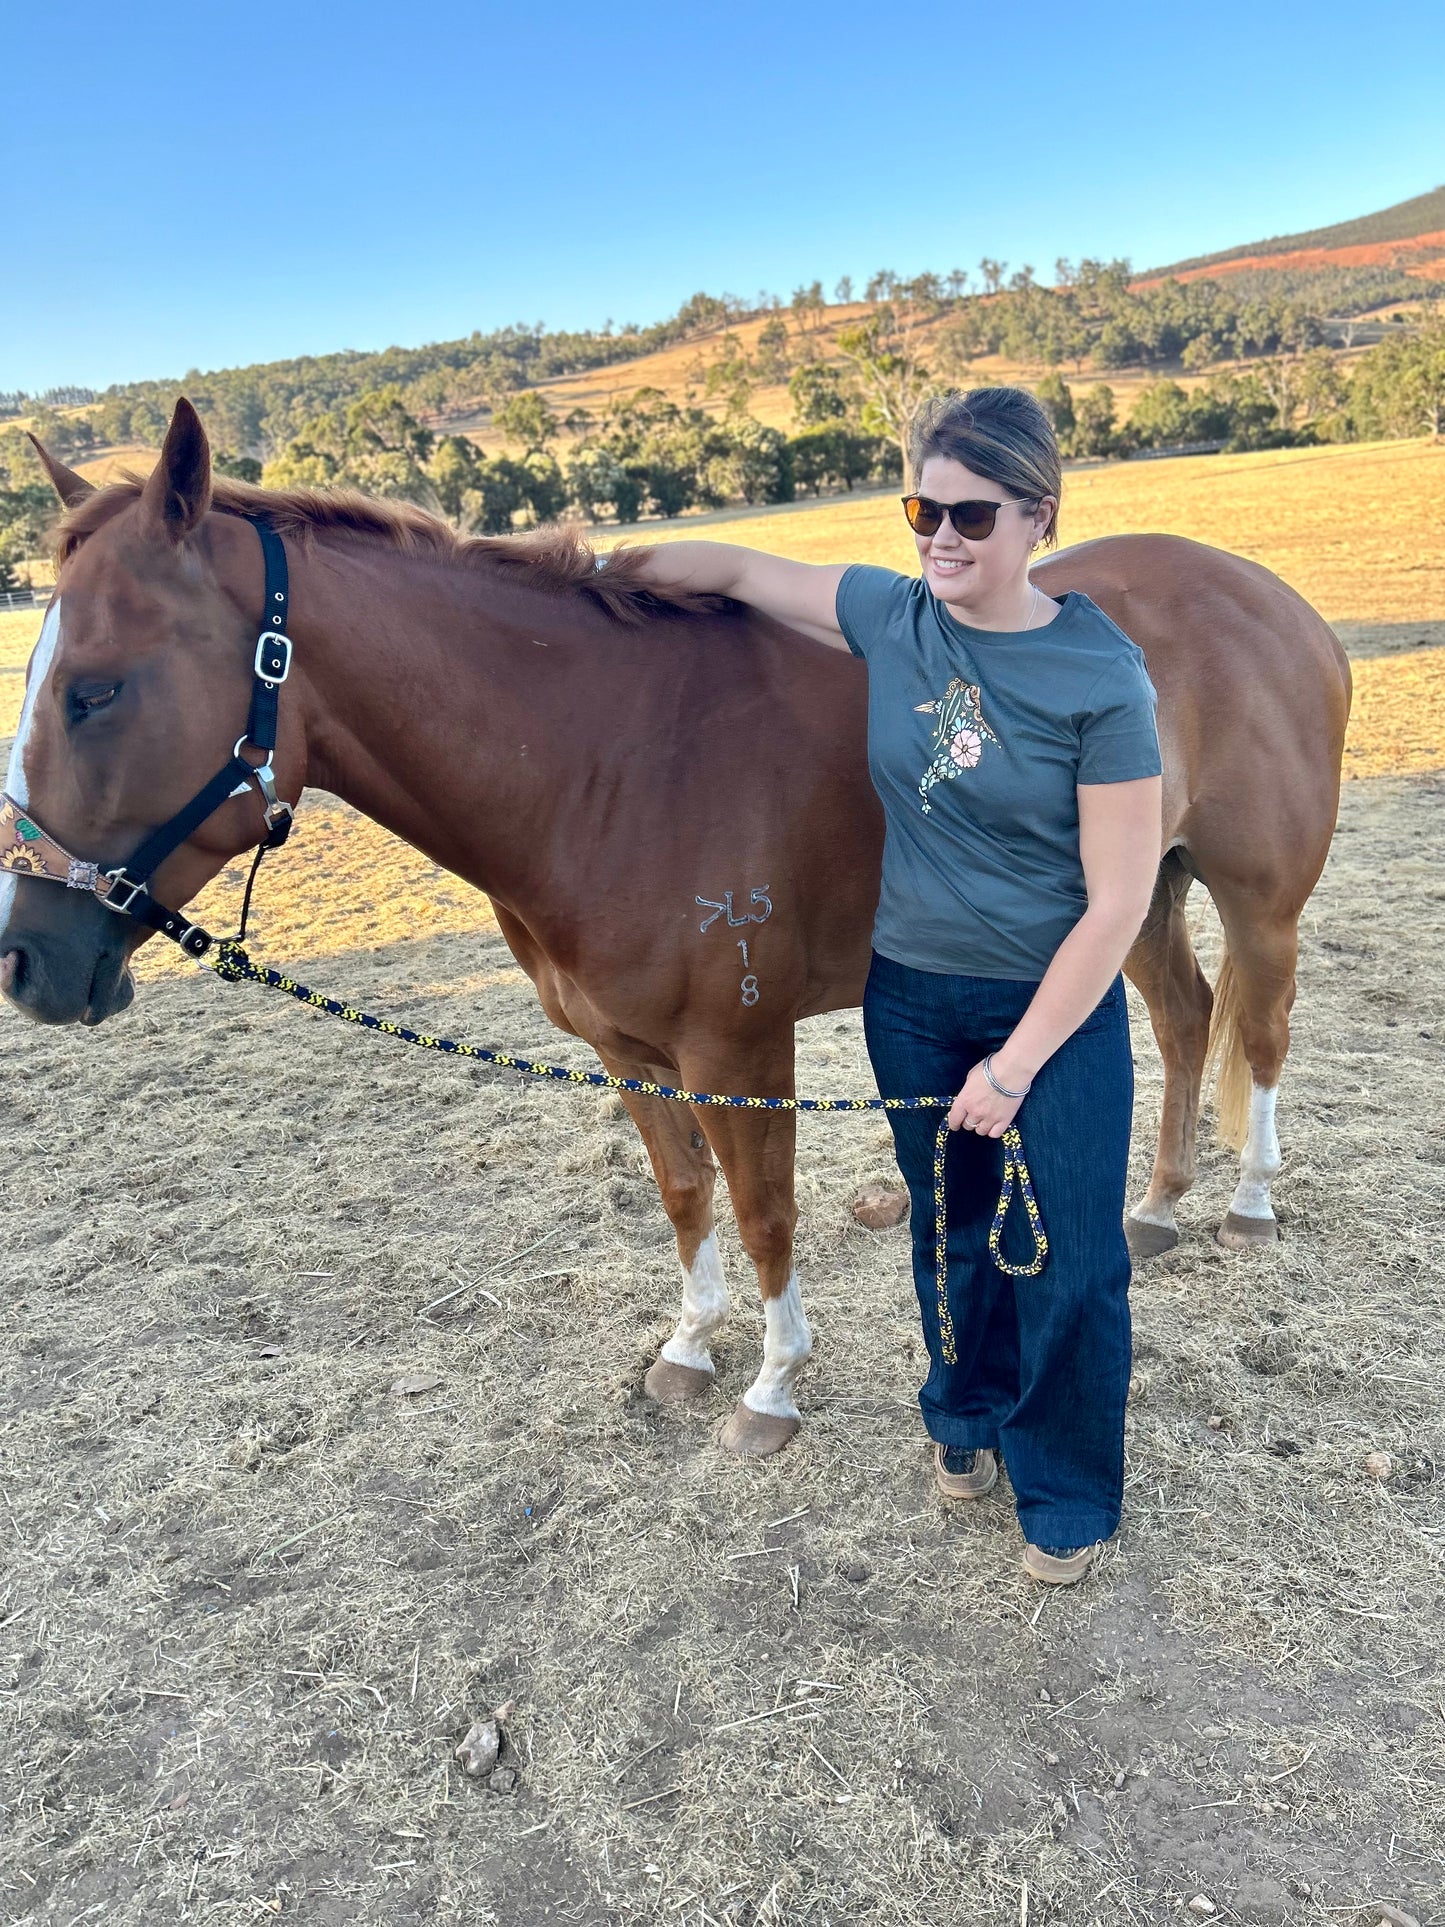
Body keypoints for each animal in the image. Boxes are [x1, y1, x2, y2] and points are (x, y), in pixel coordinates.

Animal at [2, 406, 1356, 1449]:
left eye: (96, 689)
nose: (28, 961)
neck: (604, 765)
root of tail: (1275, 600)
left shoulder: (737, 1051)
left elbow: (761, 1210)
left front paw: (772, 1386)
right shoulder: (628, 1053)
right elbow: (684, 1199)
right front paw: (692, 1350)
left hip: (1254, 898)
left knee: (1260, 1029)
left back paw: (1245, 1200)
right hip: (1129, 900)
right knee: (1182, 1019)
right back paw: (1159, 1204)